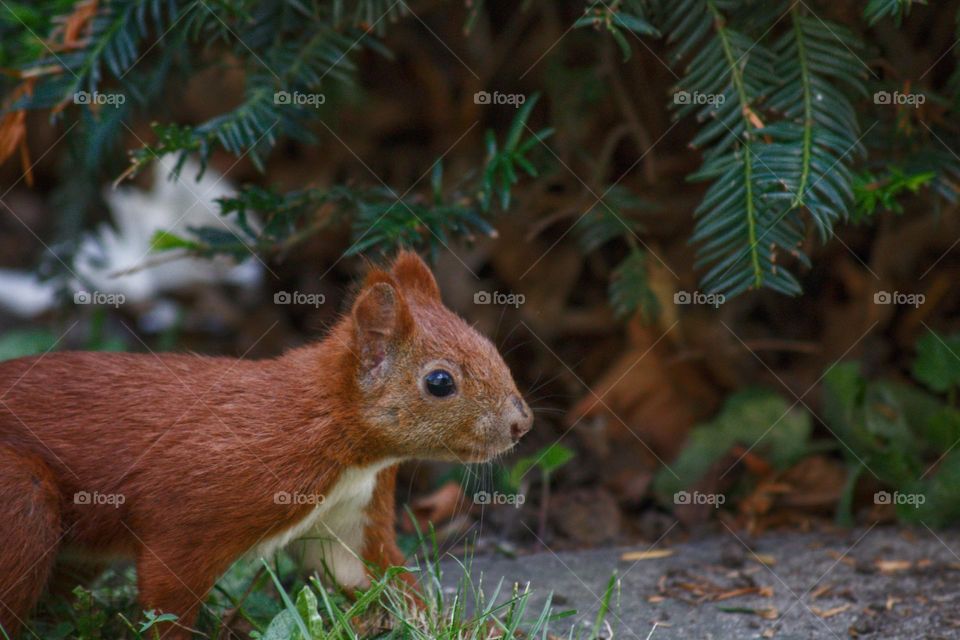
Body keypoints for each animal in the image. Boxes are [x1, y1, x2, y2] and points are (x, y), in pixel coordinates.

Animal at [0, 251, 532, 640]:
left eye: (490, 347)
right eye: (440, 382)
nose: (521, 423)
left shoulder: (351, 514)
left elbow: (377, 578)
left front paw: (470, 628)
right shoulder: (190, 511)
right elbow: (167, 594)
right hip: (23, 502)